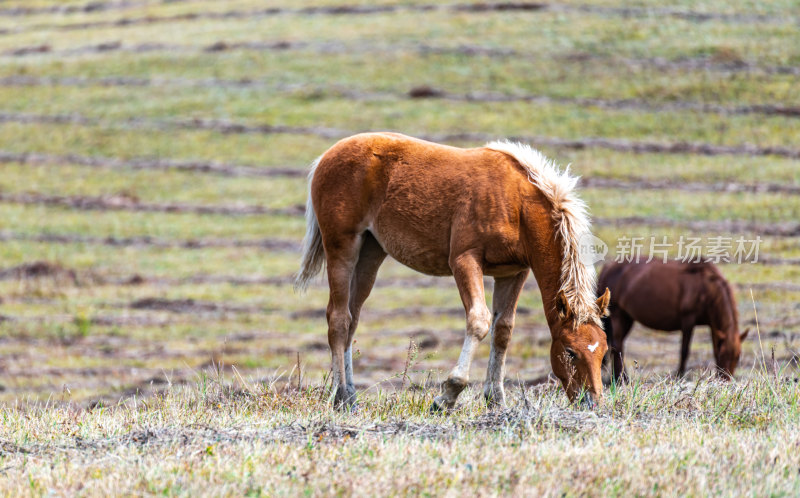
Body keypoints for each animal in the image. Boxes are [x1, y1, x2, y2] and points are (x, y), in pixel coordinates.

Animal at [296, 131, 608, 408]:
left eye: (604, 351)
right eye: (570, 351)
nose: (591, 402)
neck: (518, 203)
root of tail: (326, 156)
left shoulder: (513, 272)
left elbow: (503, 329)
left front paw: (496, 400)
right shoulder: (464, 260)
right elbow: (479, 320)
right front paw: (447, 395)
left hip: (371, 254)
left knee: (352, 318)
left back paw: (350, 394)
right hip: (342, 247)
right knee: (338, 319)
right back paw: (341, 397)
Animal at [600, 260, 752, 382]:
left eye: (738, 356)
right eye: (723, 354)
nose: (725, 380)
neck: (707, 289)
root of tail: (608, 267)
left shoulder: (713, 326)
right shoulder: (688, 321)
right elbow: (684, 351)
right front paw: (680, 376)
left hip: (627, 317)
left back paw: (617, 377)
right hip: (618, 314)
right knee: (617, 345)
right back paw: (622, 378)